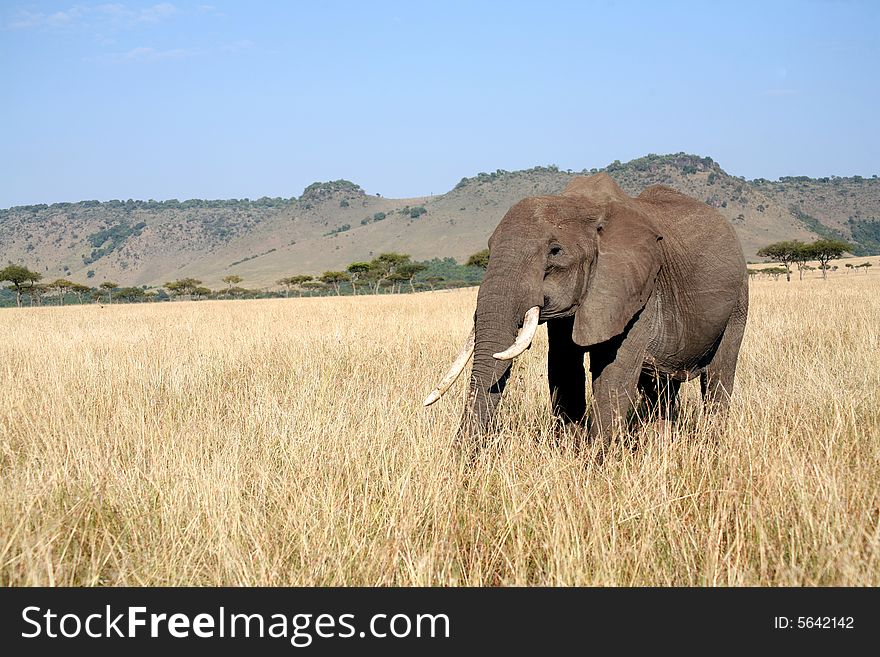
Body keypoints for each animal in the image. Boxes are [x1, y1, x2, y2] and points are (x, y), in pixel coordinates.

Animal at [426, 172, 748, 446]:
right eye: (489, 249)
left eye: (555, 251)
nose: (462, 468)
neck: (583, 205)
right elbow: (563, 367)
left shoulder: (637, 289)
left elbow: (614, 375)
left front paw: (595, 466)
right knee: (661, 388)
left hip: (738, 299)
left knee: (718, 376)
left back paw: (712, 443)